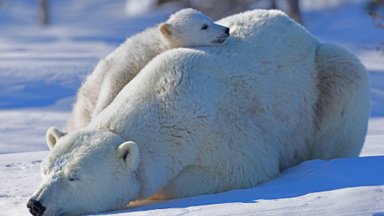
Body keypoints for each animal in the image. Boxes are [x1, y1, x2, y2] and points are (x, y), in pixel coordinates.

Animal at [27, 9, 368, 216]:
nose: (35, 204)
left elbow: (239, 168)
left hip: (323, 75)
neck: (165, 101)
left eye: (75, 177)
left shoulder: (222, 132)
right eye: (46, 170)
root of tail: (300, 29)